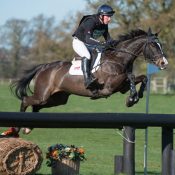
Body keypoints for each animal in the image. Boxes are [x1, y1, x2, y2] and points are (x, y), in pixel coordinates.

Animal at [5, 28, 167, 135]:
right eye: (153, 45)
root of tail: (43, 67)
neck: (118, 58)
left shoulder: (121, 87)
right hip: (43, 94)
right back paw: (17, 128)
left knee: (36, 106)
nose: (164, 63)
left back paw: (28, 127)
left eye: (161, 45)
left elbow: (142, 77)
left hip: (57, 99)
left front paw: (136, 96)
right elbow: (131, 76)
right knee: (26, 100)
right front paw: (132, 99)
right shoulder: (109, 86)